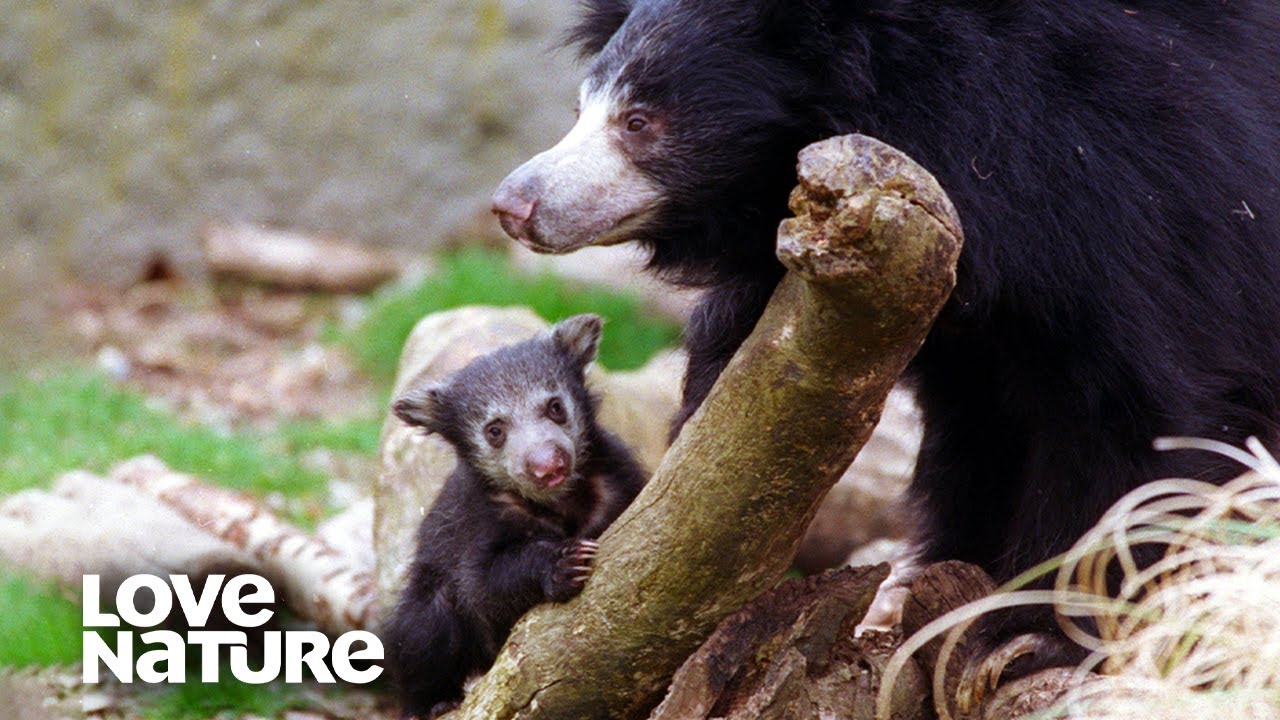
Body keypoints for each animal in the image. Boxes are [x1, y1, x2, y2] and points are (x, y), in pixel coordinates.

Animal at [384, 314, 648, 718]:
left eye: (555, 407)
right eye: (494, 430)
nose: (549, 465)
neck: (557, 501)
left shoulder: (620, 482)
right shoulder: (481, 517)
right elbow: (483, 585)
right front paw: (566, 563)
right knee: (422, 630)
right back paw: (436, 702)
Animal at [491, 0, 1280, 678]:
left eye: (640, 121)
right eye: (580, 110)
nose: (512, 206)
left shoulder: (1131, 209)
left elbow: (1135, 417)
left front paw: (1031, 637)